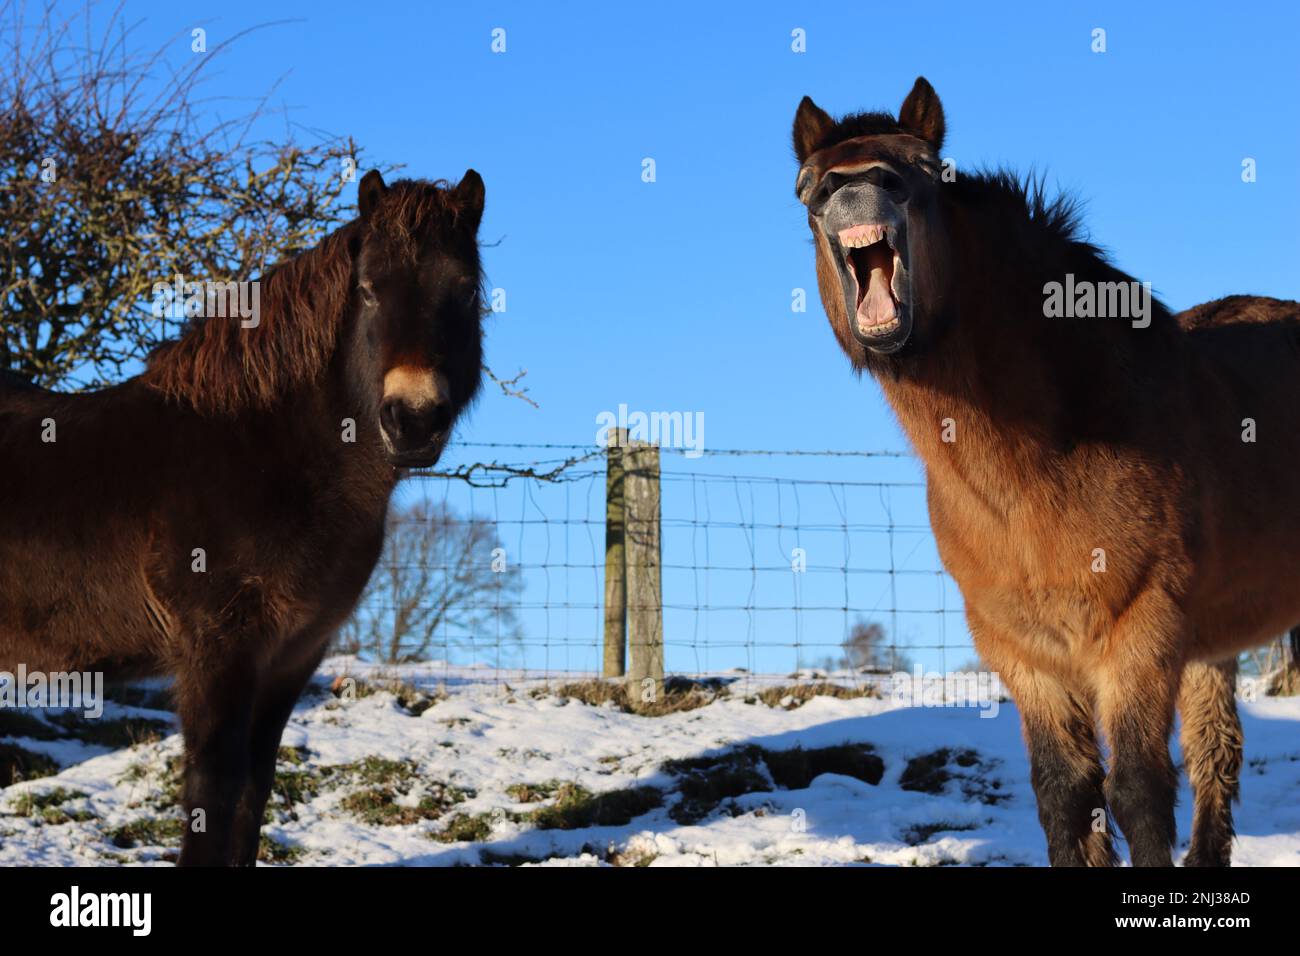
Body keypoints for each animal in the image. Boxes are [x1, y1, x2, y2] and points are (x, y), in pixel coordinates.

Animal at [0, 170, 488, 868]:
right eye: (369, 289)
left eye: (466, 289)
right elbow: (213, 790)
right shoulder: (217, 651)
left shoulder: (293, 656)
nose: (414, 419)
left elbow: (253, 791)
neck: (268, 453)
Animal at [790, 76, 1300, 868]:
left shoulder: (1139, 635)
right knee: (1217, 754)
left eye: (922, 170)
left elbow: (1137, 795)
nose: (853, 189)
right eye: (808, 185)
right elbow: (1066, 798)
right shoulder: (1025, 654)